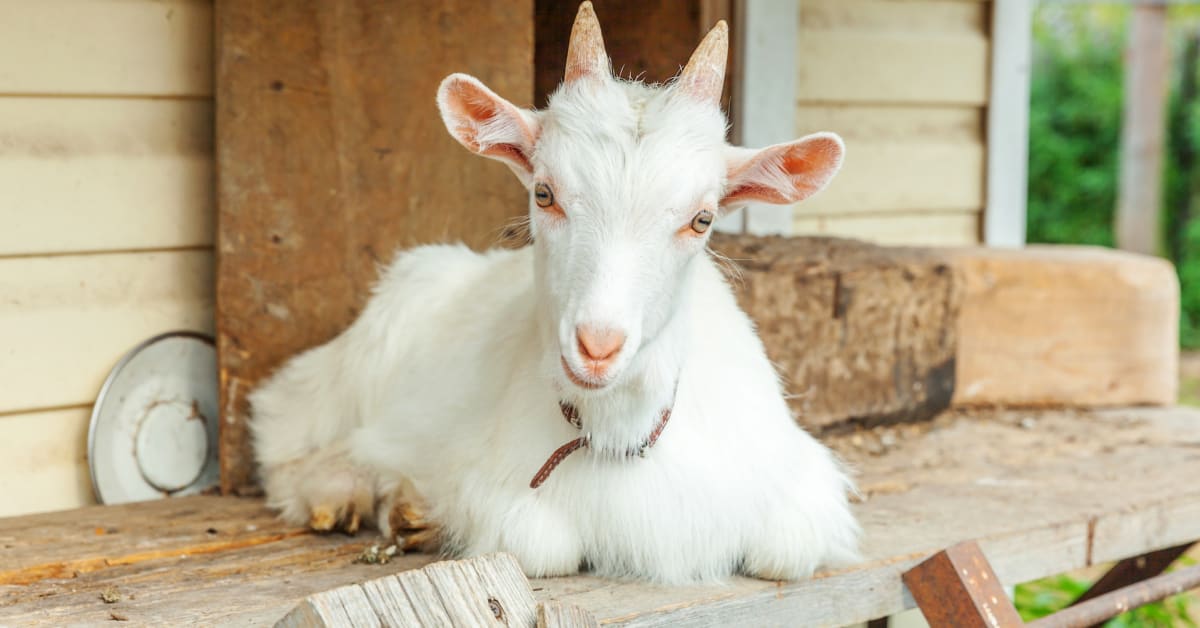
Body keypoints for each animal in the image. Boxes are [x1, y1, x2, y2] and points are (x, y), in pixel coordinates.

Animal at [248, 2, 859, 588]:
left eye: (702, 219)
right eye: (545, 193)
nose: (597, 346)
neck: (617, 434)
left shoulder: (800, 492)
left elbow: (786, 554)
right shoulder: (500, 494)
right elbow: (540, 546)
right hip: (355, 366)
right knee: (283, 429)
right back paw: (340, 492)